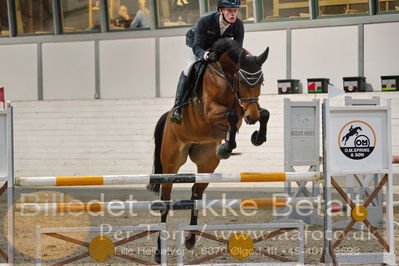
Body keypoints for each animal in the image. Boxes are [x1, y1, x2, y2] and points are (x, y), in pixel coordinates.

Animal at [148, 38, 270, 262]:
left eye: (261, 82)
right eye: (242, 81)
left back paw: (190, 239)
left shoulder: (244, 109)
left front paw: (255, 138)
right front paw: (227, 145)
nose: (251, 118)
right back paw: (160, 252)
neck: (225, 77)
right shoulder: (211, 111)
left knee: (196, 193)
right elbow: (231, 115)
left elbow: (261, 113)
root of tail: (167, 116)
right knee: (165, 202)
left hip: (207, 163)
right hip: (171, 163)